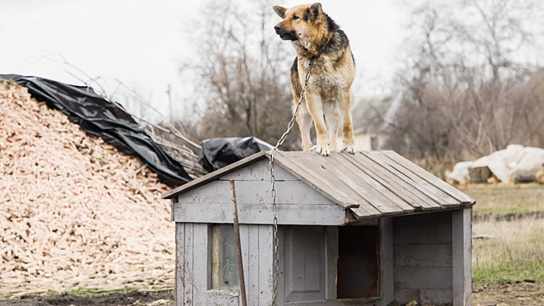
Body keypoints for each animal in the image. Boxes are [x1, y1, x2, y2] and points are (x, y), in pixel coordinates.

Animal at [272, 2, 356, 155]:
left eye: (295, 17)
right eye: (285, 17)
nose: (276, 27)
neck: (318, 51)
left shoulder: (343, 92)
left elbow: (347, 124)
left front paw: (349, 146)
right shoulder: (312, 95)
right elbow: (320, 126)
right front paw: (322, 147)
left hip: (333, 111)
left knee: (333, 136)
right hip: (302, 111)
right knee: (305, 141)